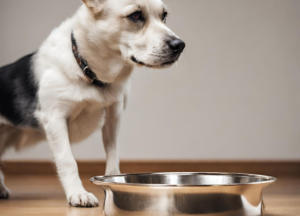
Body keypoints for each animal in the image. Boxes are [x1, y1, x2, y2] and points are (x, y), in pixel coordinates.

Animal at [0, 0, 185, 207]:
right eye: (135, 15)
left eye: (164, 16)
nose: (179, 45)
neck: (89, 73)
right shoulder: (55, 119)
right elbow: (67, 160)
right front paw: (77, 193)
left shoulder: (114, 115)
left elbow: (113, 158)